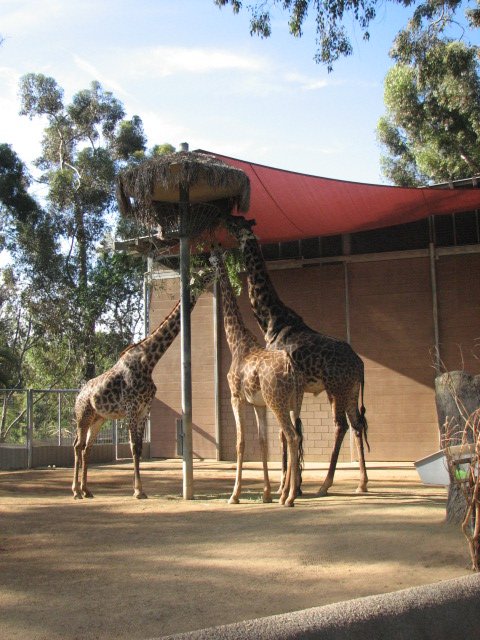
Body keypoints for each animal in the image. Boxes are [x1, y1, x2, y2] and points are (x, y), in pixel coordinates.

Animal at [72, 276, 210, 500]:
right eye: (203, 276)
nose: (210, 279)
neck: (148, 361)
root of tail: (78, 394)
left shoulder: (145, 409)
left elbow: (138, 447)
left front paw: (140, 489)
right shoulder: (131, 408)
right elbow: (134, 446)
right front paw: (138, 491)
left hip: (98, 419)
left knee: (87, 448)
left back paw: (86, 490)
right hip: (83, 416)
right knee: (78, 445)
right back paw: (75, 491)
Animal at [210, 248, 304, 506]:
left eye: (212, 257)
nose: (205, 266)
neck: (236, 343)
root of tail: (292, 369)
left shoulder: (236, 397)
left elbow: (240, 442)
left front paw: (234, 495)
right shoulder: (257, 404)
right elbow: (262, 443)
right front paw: (266, 493)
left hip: (276, 401)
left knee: (291, 436)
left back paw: (289, 497)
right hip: (293, 402)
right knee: (293, 436)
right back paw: (286, 493)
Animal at [228, 217, 369, 496]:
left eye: (236, 222)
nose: (224, 221)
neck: (271, 319)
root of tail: (360, 364)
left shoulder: (279, 387)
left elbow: (285, 434)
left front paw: (286, 486)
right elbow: (291, 431)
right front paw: (293, 485)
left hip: (335, 388)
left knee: (341, 425)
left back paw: (325, 484)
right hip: (349, 390)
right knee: (357, 424)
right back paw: (361, 483)